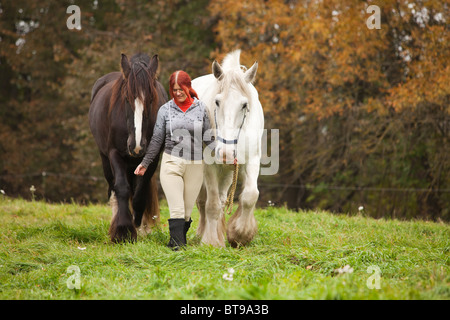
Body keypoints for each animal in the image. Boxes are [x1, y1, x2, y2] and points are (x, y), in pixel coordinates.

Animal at [89, 53, 168, 242]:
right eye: (126, 98)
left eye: (151, 99)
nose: (136, 146)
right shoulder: (114, 154)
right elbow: (122, 188)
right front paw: (122, 230)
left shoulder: (152, 158)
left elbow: (140, 194)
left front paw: (137, 226)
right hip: (105, 159)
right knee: (113, 187)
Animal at [192, 50, 264, 248]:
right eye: (217, 102)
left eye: (244, 105)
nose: (225, 153)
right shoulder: (208, 164)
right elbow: (211, 204)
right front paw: (210, 241)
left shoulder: (252, 160)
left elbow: (250, 195)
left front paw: (240, 233)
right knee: (203, 201)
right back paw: (203, 233)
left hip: (227, 171)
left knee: (223, 198)